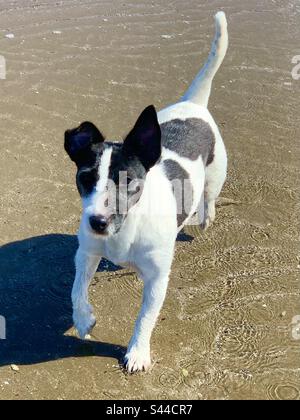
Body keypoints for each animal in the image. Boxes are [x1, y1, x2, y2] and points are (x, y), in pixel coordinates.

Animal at [63, 11, 227, 372]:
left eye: (128, 181)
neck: (126, 230)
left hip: (216, 174)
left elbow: (146, 317)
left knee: (209, 196)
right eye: (86, 178)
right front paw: (83, 319)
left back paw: (206, 217)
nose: (97, 222)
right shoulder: (87, 253)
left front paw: (138, 351)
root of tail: (193, 103)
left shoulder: (157, 278)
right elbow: (77, 290)